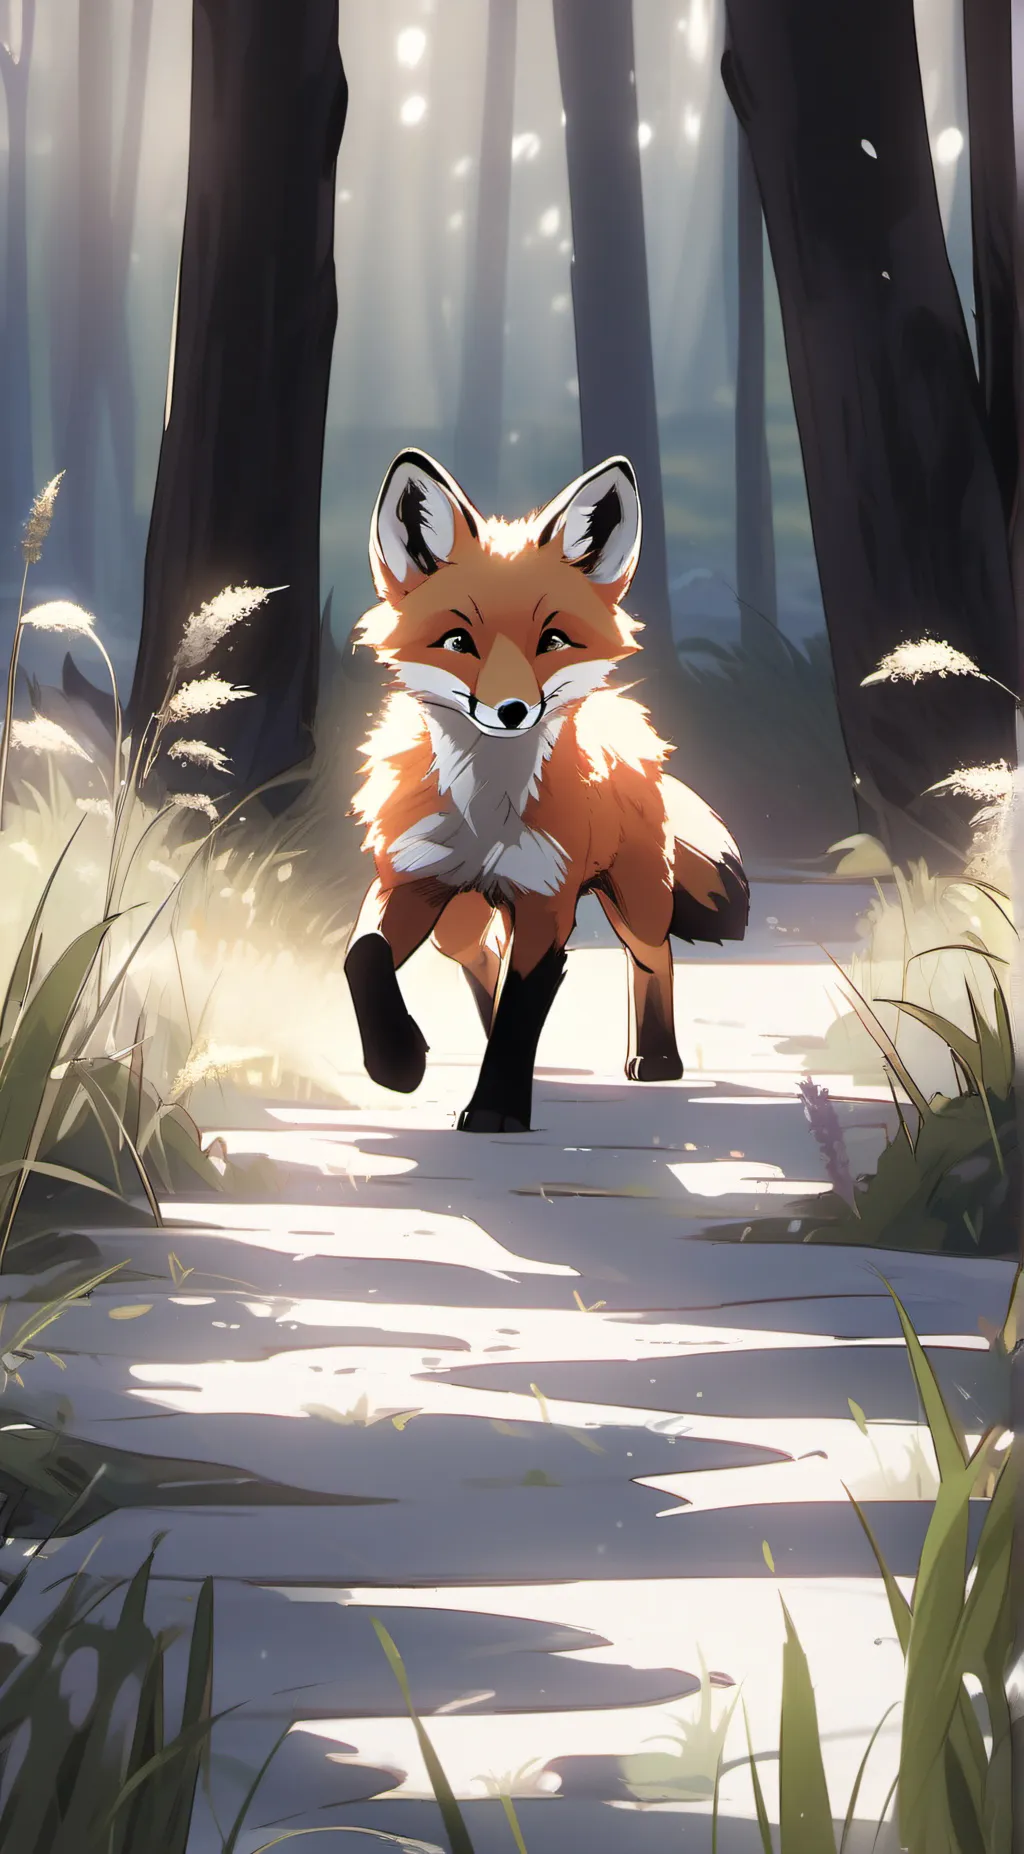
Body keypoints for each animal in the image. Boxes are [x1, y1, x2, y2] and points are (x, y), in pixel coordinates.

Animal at [344, 447, 749, 1133]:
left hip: (634, 901)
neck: (488, 809)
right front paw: (396, 1062)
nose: (511, 711)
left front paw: (495, 1109)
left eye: (552, 641)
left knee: (655, 954)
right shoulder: (410, 878)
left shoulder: (544, 900)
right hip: (460, 914)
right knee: (479, 953)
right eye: (458, 642)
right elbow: (363, 957)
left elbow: (521, 1008)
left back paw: (657, 1058)